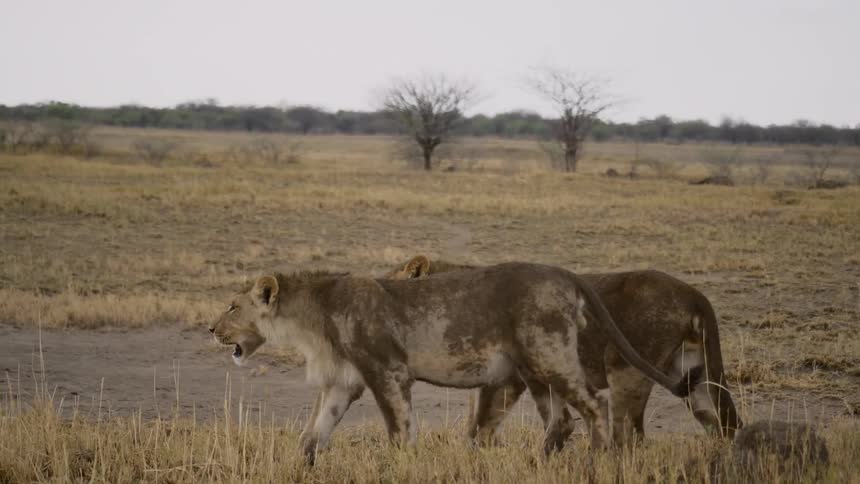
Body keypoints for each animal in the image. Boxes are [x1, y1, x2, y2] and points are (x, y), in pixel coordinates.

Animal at [210, 263, 700, 463]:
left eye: (232, 306)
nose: (212, 329)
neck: (313, 317)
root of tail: (567, 274)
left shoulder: (386, 371)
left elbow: (399, 430)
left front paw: (402, 466)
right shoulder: (345, 382)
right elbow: (314, 434)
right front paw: (300, 467)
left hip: (547, 357)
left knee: (597, 406)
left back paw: (593, 464)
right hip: (535, 368)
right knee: (561, 421)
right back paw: (538, 465)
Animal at [385, 255, 742, 446]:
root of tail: (696, 296)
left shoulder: (510, 377)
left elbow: (483, 426)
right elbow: (480, 424)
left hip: (626, 368)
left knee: (629, 434)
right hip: (695, 374)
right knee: (721, 424)